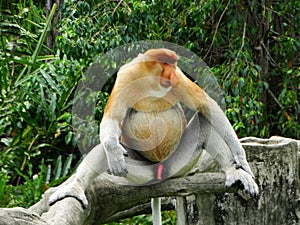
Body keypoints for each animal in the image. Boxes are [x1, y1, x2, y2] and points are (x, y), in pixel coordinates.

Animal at [49, 48, 258, 225]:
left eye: (174, 65)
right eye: (166, 64)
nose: (172, 74)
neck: (150, 82)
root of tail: (160, 171)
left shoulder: (179, 78)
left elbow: (207, 106)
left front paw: (241, 158)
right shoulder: (126, 75)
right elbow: (112, 119)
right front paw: (114, 153)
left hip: (179, 163)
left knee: (203, 121)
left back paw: (234, 172)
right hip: (143, 172)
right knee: (104, 149)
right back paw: (77, 185)